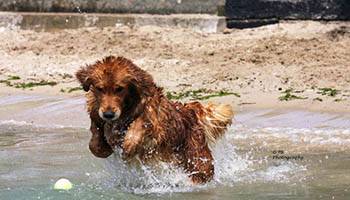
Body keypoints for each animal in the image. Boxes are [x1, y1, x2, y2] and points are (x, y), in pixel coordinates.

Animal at [77, 56, 235, 184]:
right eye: (100, 88)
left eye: (119, 89)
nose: (108, 114)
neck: (126, 108)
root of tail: (190, 111)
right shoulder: (96, 114)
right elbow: (94, 140)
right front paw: (103, 147)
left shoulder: (156, 120)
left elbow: (143, 120)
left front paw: (129, 143)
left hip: (196, 157)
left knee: (201, 172)